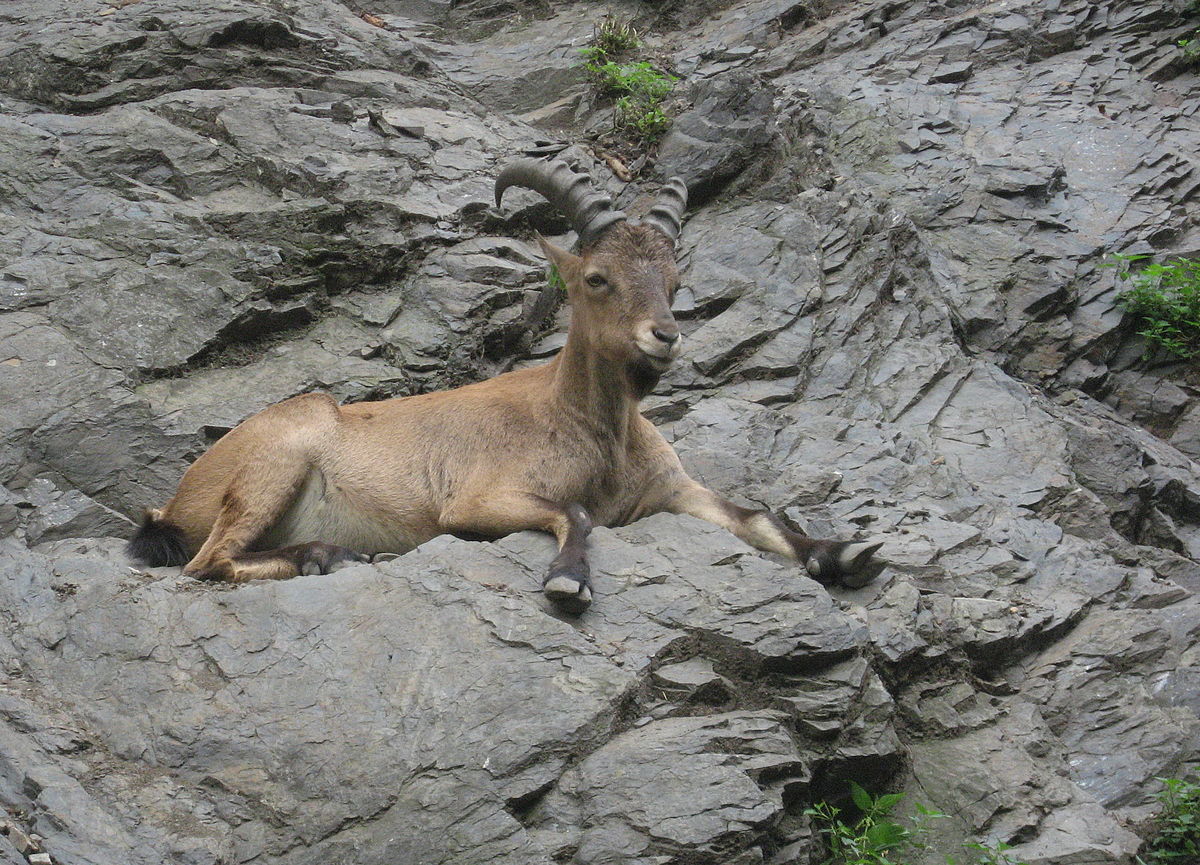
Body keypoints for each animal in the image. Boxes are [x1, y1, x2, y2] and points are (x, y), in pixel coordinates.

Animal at [129, 158, 883, 611]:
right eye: (597, 278)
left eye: (673, 282)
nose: (664, 337)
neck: (594, 431)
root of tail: (172, 500)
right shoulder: (477, 502)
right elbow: (575, 513)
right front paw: (568, 579)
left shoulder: (672, 491)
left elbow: (756, 516)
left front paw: (844, 552)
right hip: (279, 454)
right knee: (206, 562)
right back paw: (325, 554)